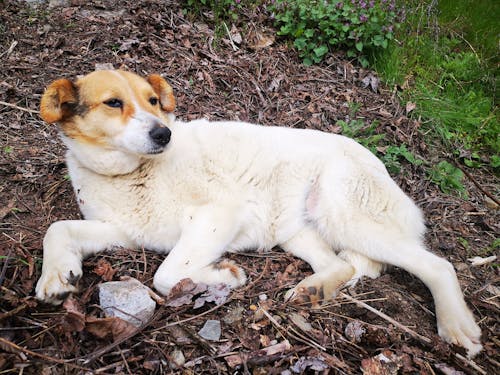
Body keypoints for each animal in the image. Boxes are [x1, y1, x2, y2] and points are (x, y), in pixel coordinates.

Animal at [35, 71, 480, 358]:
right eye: (114, 103)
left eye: (153, 102)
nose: (164, 133)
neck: (133, 173)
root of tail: (382, 168)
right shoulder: (121, 230)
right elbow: (58, 228)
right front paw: (56, 275)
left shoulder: (218, 214)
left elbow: (165, 274)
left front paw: (222, 276)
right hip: (295, 230)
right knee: (342, 265)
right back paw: (314, 289)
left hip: (344, 214)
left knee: (437, 266)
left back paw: (457, 326)